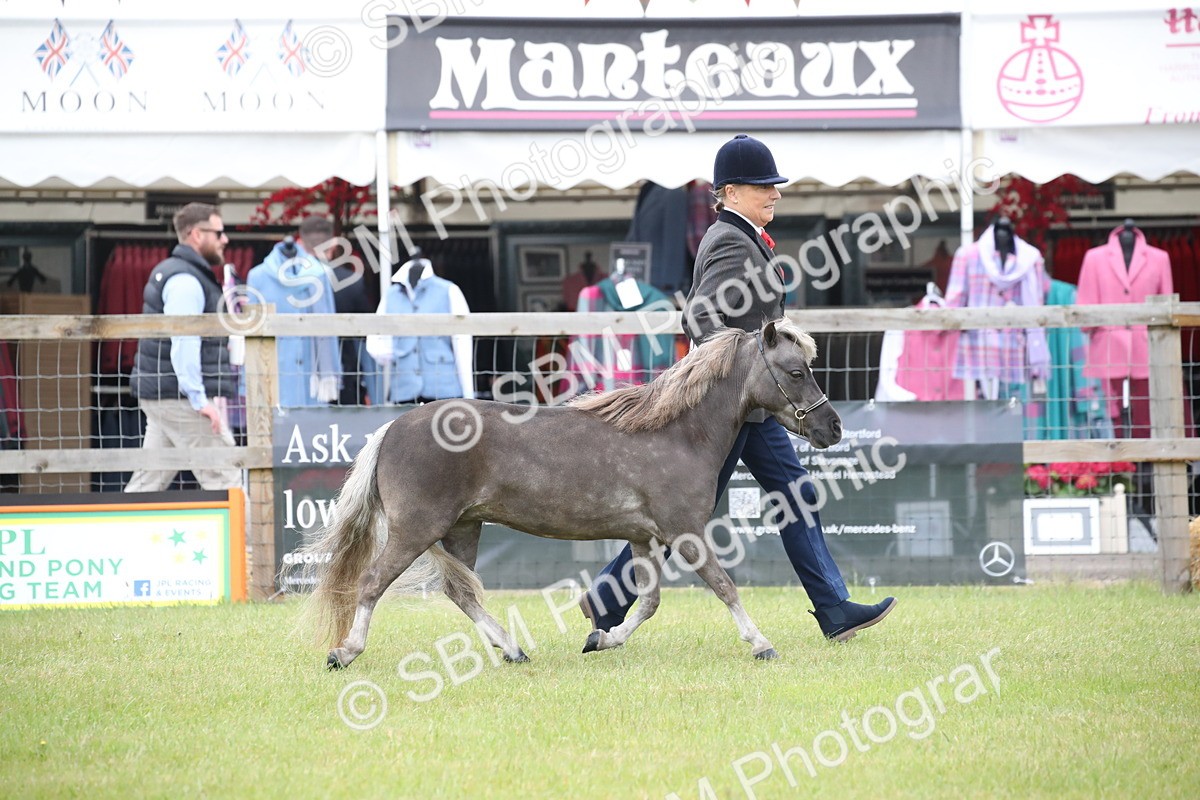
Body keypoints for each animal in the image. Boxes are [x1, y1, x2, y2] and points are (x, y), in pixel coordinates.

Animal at [305, 318, 842, 669]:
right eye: (796, 371)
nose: (832, 427)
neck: (676, 432)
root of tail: (393, 427)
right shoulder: (684, 532)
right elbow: (724, 586)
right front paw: (761, 643)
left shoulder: (645, 538)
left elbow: (648, 602)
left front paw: (602, 639)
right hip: (417, 528)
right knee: (372, 582)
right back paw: (344, 652)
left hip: (462, 529)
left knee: (460, 592)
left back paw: (514, 649)